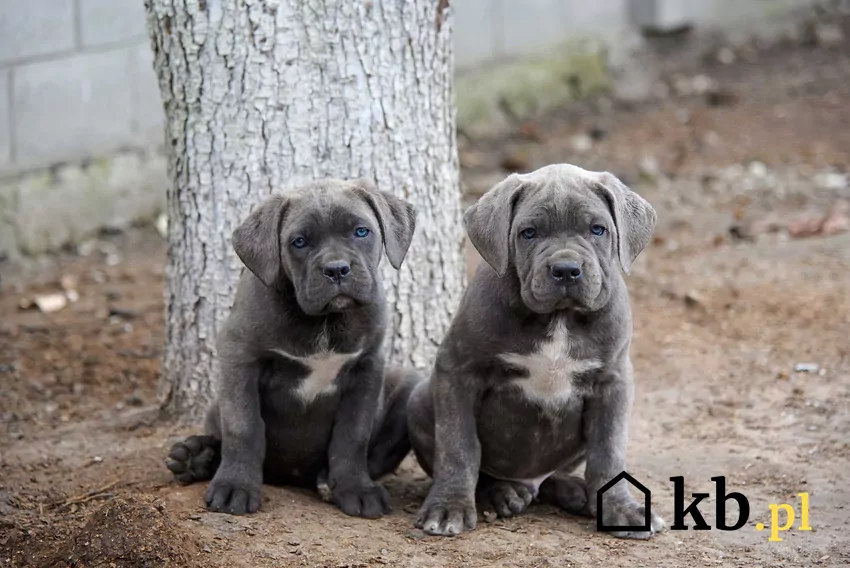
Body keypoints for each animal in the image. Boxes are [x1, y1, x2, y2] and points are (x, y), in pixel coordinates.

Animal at [164, 179, 420, 520]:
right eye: (299, 242)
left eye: (361, 231)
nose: (336, 269)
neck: (324, 321)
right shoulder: (239, 357)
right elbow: (242, 426)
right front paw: (235, 485)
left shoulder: (367, 367)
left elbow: (353, 434)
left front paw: (355, 487)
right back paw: (197, 457)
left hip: (409, 384)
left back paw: (327, 481)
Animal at [406, 163, 664, 536]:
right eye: (528, 233)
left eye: (598, 229)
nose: (566, 269)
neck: (559, 317)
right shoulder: (458, 369)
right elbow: (459, 445)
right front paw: (448, 506)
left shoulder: (613, 381)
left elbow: (609, 452)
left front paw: (621, 509)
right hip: (418, 400)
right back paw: (502, 493)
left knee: (556, 476)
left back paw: (574, 492)